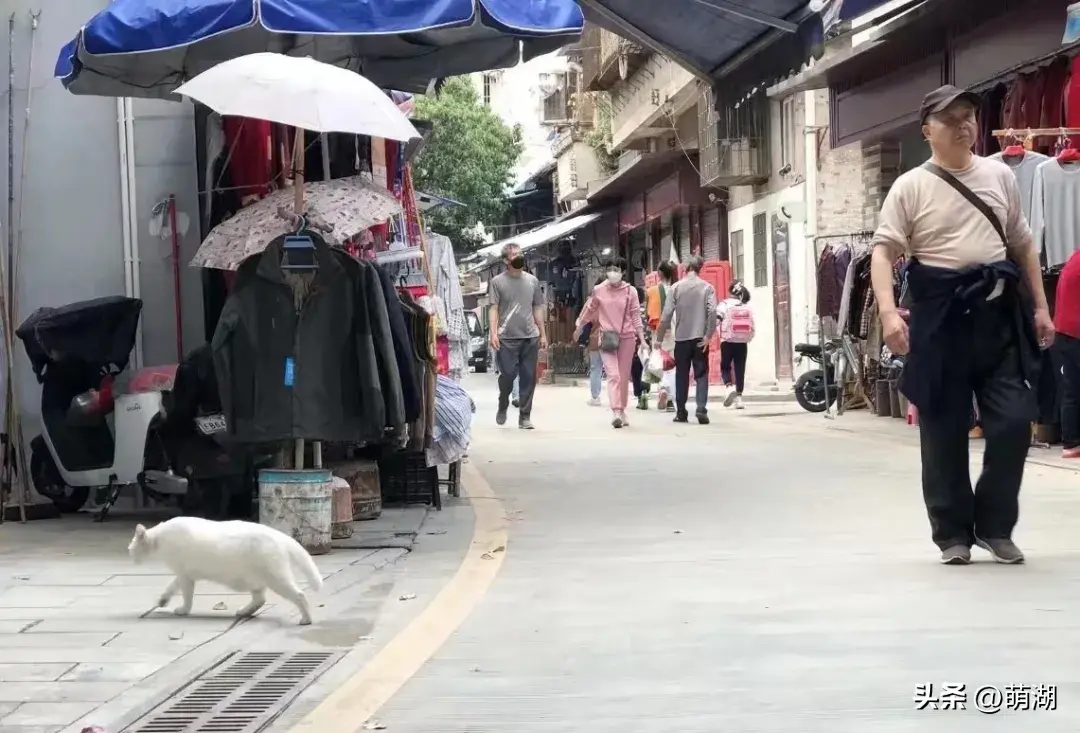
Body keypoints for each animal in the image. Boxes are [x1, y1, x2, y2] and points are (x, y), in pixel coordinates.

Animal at [126, 516, 319, 626]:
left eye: (131, 548)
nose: (128, 552)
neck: (160, 539)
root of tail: (280, 535)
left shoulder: (185, 575)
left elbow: (186, 596)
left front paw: (184, 610)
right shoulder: (184, 573)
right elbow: (171, 586)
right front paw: (163, 600)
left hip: (276, 578)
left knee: (299, 595)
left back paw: (306, 619)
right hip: (255, 579)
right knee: (260, 599)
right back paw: (244, 611)